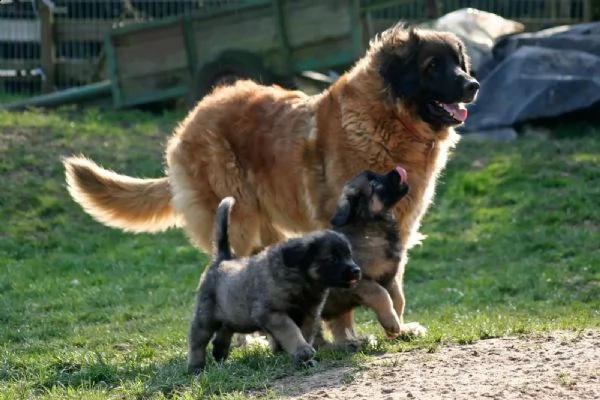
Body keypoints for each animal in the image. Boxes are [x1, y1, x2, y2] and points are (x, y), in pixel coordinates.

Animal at [64, 23, 478, 340]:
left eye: (458, 63)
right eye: (432, 66)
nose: (473, 85)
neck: (389, 119)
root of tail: (192, 117)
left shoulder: (400, 234)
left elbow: (396, 292)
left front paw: (399, 329)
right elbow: (359, 290)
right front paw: (348, 337)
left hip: (266, 230)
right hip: (239, 221)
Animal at [188, 195, 360, 374]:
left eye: (349, 255)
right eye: (332, 258)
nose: (356, 270)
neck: (302, 279)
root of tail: (222, 260)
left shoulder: (309, 316)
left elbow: (304, 334)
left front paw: (303, 359)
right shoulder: (273, 313)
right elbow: (291, 330)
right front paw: (302, 351)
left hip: (236, 315)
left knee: (225, 329)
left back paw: (219, 351)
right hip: (205, 316)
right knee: (197, 340)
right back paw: (195, 366)